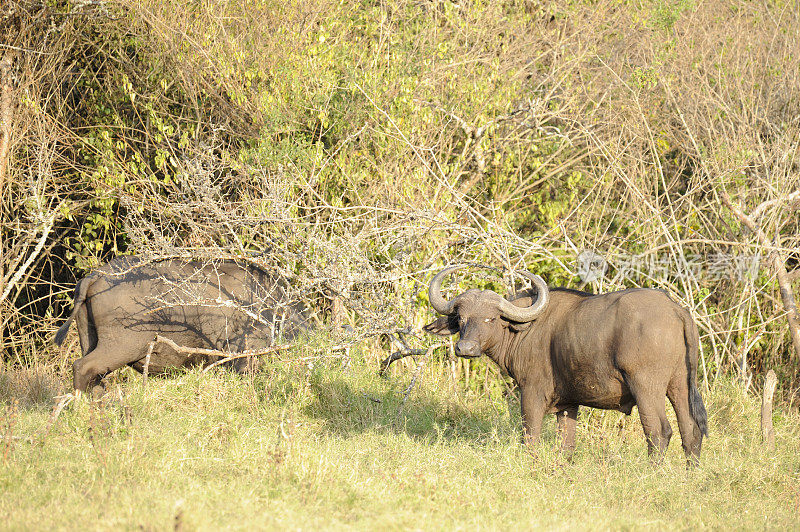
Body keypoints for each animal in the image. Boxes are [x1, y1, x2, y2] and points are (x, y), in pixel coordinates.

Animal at [54, 256, 306, 392]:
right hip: (121, 346)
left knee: (95, 377)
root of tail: (94, 275)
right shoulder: (245, 358)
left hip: (90, 339)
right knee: (83, 367)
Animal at [422, 264, 708, 464]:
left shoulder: (531, 392)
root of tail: (676, 310)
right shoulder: (569, 404)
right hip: (680, 385)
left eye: (490, 318)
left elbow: (530, 435)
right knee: (691, 430)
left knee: (659, 432)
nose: (465, 348)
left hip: (647, 388)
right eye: (461, 318)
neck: (525, 328)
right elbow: (566, 444)